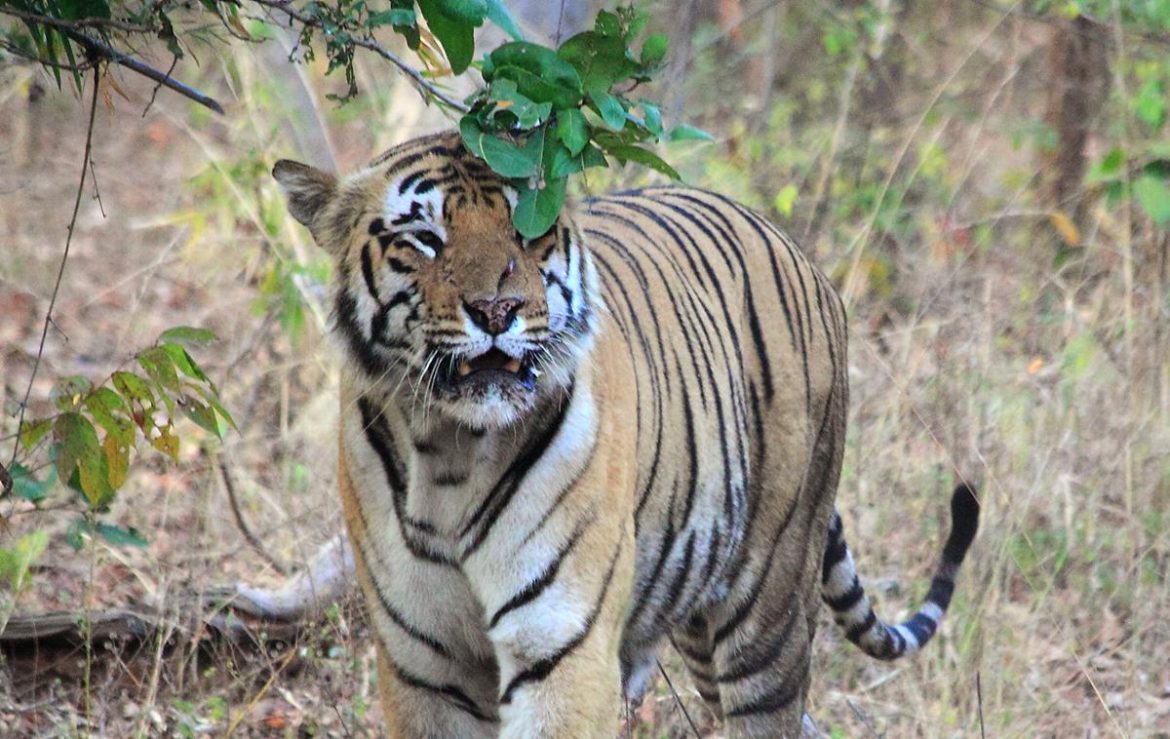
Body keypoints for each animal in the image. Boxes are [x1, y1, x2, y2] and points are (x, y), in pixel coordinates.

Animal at [273, 132, 978, 739]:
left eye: (528, 230)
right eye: (423, 237)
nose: (498, 311)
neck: (451, 450)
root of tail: (793, 244)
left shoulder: (560, 644)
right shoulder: (424, 665)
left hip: (768, 603)